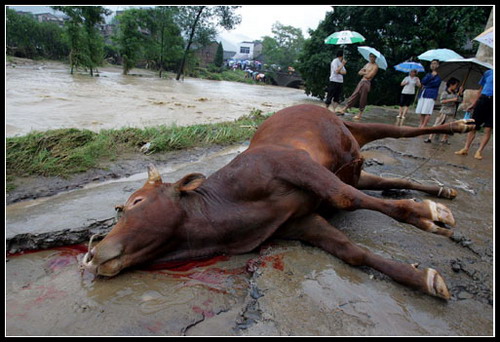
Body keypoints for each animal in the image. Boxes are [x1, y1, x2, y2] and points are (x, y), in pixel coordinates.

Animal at [80, 103, 474, 300]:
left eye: (134, 202)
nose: (91, 254)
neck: (226, 208)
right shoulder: (300, 223)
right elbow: (352, 253)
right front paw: (421, 278)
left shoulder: (296, 164)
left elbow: (346, 198)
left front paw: (423, 217)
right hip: (357, 168)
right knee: (387, 181)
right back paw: (441, 192)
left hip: (354, 129)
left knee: (402, 132)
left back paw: (459, 128)